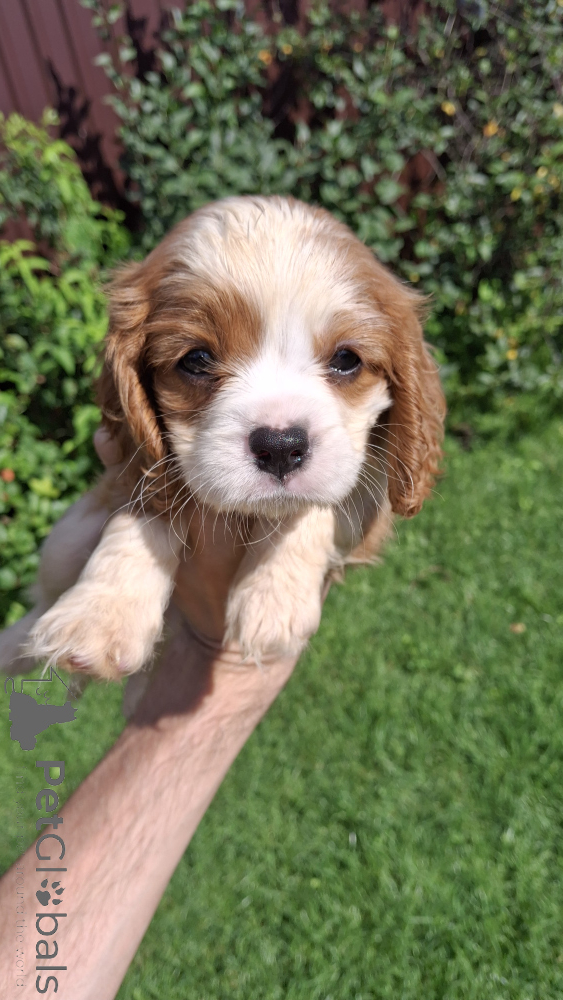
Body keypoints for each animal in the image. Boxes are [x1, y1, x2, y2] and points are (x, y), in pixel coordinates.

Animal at [0, 196, 445, 682]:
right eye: (196, 360)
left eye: (347, 359)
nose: (280, 446)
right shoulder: (134, 464)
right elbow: (144, 509)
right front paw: (99, 616)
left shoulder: (370, 489)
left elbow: (318, 505)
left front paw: (274, 601)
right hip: (64, 543)